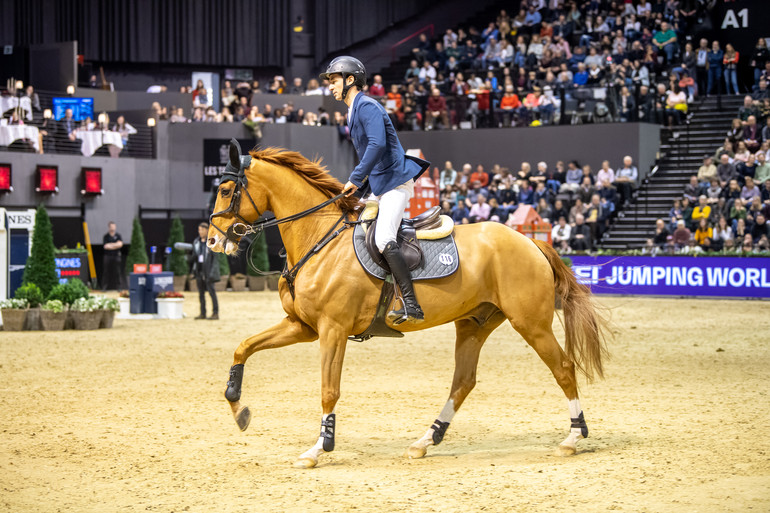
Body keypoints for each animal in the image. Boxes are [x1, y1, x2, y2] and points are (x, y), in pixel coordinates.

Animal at [208, 144, 608, 468]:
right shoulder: (302, 326)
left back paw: (573, 437)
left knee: (563, 368)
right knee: (463, 382)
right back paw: (425, 441)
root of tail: (529, 241)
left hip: (530, 323)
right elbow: (243, 347)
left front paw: (319, 448)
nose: (212, 241)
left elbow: (328, 389)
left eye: (226, 190)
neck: (319, 239)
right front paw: (238, 407)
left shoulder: (332, 330)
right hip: (474, 323)